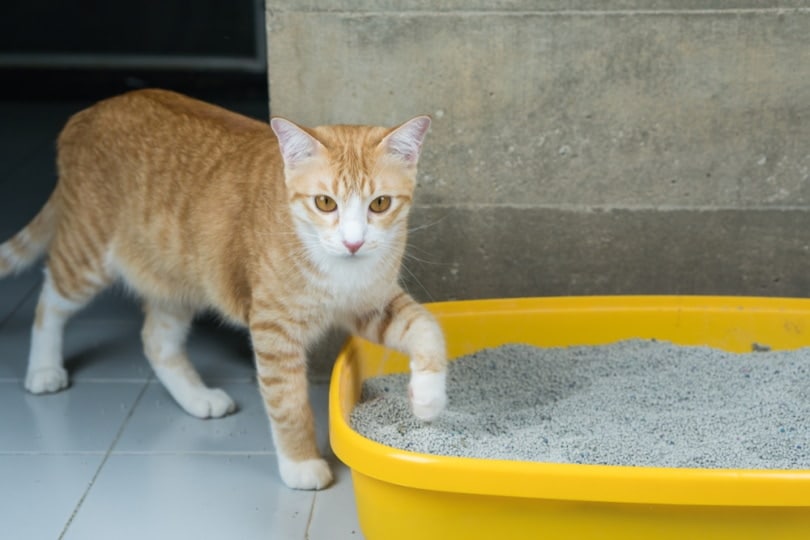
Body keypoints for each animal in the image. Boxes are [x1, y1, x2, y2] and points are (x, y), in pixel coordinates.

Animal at [0, 90, 448, 492]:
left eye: (380, 204)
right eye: (325, 203)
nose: (354, 243)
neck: (339, 270)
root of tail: (91, 111)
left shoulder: (372, 303)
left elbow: (428, 329)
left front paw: (428, 398)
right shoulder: (273, 329)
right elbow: (288, 403)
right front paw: (301, 464)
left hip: (179, 279)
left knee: (156, 340)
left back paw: (197, 398)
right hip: (87, 254)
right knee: (49, 300)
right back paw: (43, 370)